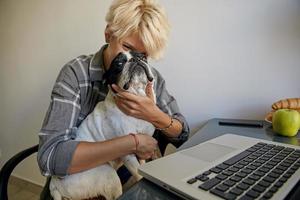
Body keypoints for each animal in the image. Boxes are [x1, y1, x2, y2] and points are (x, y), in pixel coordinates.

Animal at [48, 51, 157, 200]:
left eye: (144, 57)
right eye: (119, 63)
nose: (137, 59)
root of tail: (54, 185)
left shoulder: (141, 153)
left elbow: (142, 167)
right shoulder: (128, 154)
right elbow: (139, 174)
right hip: (108, 173)